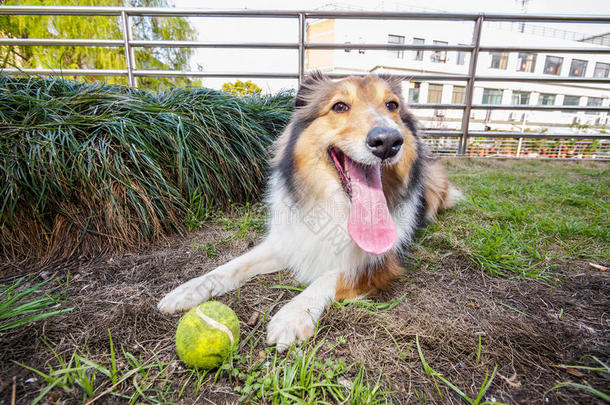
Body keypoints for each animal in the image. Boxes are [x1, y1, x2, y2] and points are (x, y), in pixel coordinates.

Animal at [159, 73, 458, 350]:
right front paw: (188, 290)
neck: (338, 206)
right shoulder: (290, 240)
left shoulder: (381, 263)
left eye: (392, 105)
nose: (388, 141)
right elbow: (231, 266)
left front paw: (292, 314)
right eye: (339, 106)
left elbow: (331, 276)